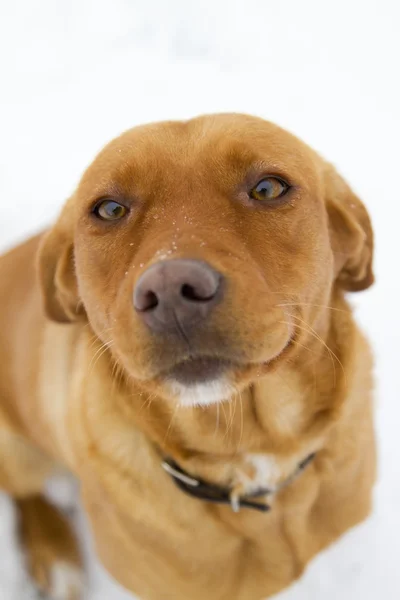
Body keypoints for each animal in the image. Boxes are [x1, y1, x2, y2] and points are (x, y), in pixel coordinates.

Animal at [0, 113, 376, 600]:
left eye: (268, 188)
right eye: (110, 209)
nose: (171, 291)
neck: (247, 452)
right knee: (27, 494)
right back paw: (56, 554)